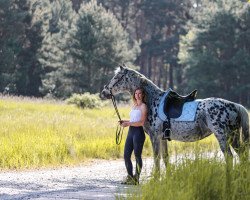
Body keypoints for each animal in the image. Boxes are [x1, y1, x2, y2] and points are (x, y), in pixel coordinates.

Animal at [100, 65, 249, 173]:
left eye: (117, 77)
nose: (103, 92)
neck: (153, 101)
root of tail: (235, 105)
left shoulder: (155, 137)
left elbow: (156, 158)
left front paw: (156, 178)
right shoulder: (163, 138)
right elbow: (165, 158)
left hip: (223, 135)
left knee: (229, 156)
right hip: (233, 135)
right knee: (241, 154)